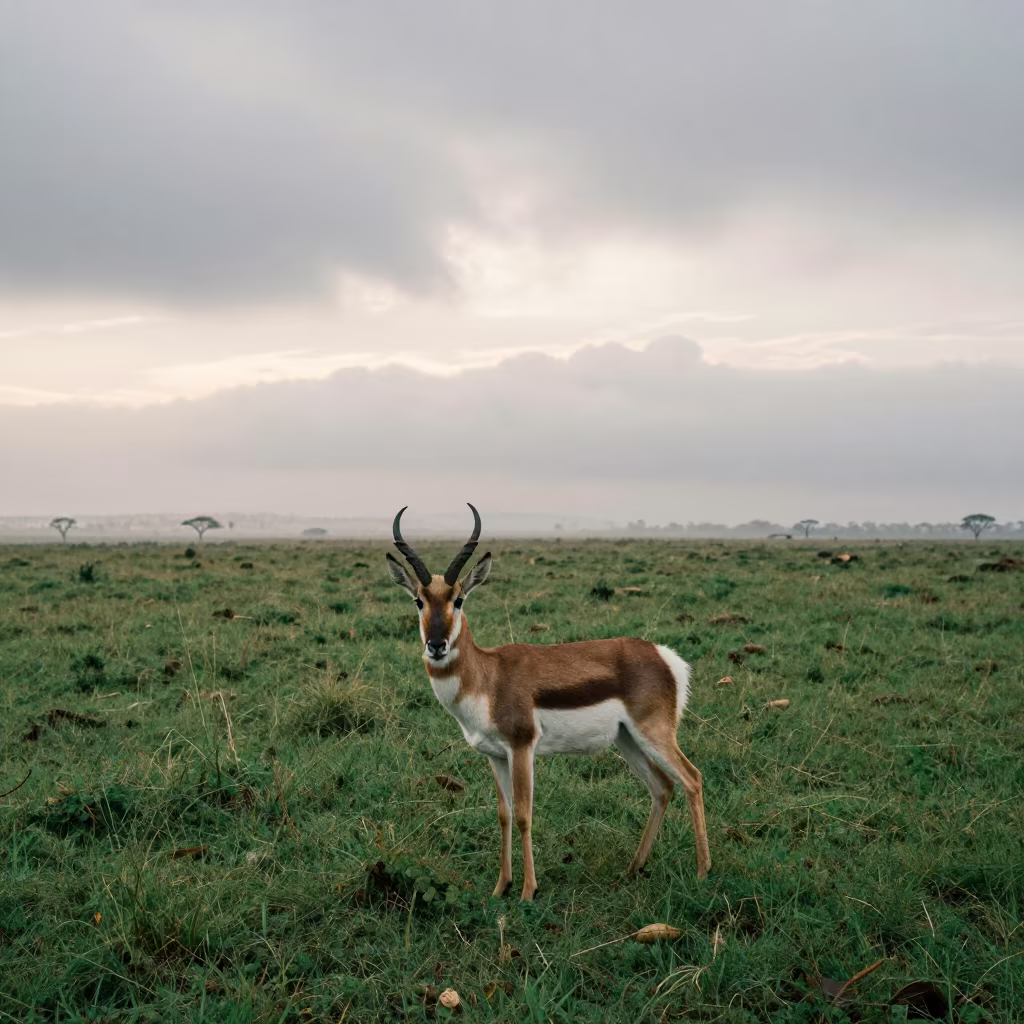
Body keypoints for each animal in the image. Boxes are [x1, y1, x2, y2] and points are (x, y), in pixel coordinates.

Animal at [386, 504, 710, 901]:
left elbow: (525, 814)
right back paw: (633, 869)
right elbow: (504, 814)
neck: (489, 676)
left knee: (692, 780)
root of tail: (664, 656)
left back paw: (702, 872)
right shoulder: (495, 755)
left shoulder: (522, 747)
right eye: (419, 600)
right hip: (627, 740)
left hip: (655, 734)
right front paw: (500, 888)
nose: (436, 644)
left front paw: (528, 891)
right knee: (662, 787)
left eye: (458, 599)